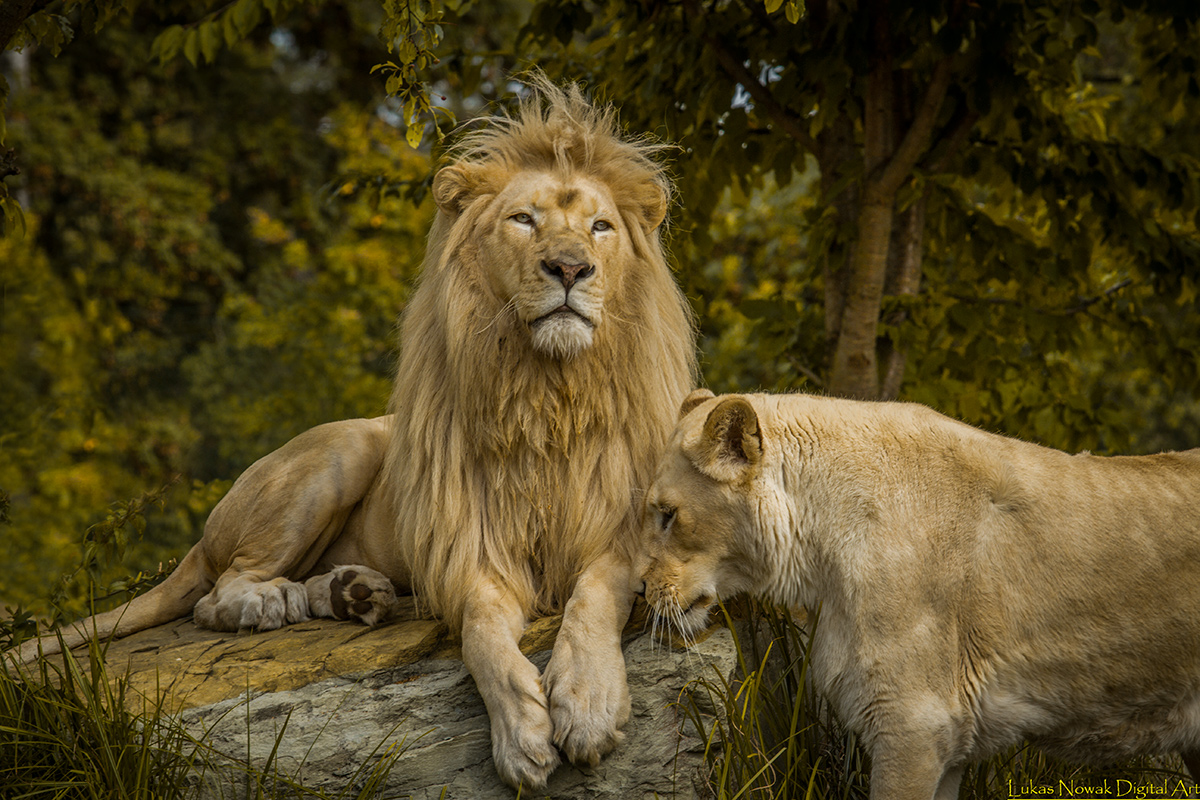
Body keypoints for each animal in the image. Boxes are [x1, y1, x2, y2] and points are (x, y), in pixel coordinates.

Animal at [16, 81, 696, 786]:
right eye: (523, 221)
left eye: (600, 227)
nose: (569, 268)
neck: (547, 393)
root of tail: (204, 535)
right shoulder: (474, 555)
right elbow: (482, 633)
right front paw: (522, 736)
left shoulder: (625, 537)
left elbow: (593, 596)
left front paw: (587, 706)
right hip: (343, 450)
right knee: (218, 592)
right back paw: (277, 603)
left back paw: (352, 594)